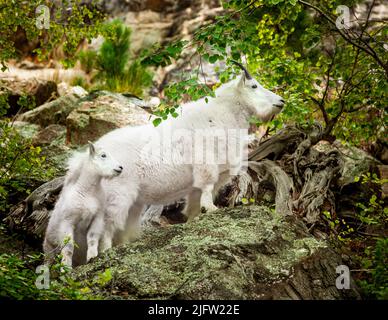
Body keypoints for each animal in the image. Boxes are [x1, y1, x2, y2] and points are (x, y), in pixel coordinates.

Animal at [93, 60, 284, 250]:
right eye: (254, 86)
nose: (281, 101)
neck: (222, 115)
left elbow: (195, 204)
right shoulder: (206, 165)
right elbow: (206, 187)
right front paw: (211, 209)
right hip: (117, 195)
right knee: (107, 226)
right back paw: (106, 250)